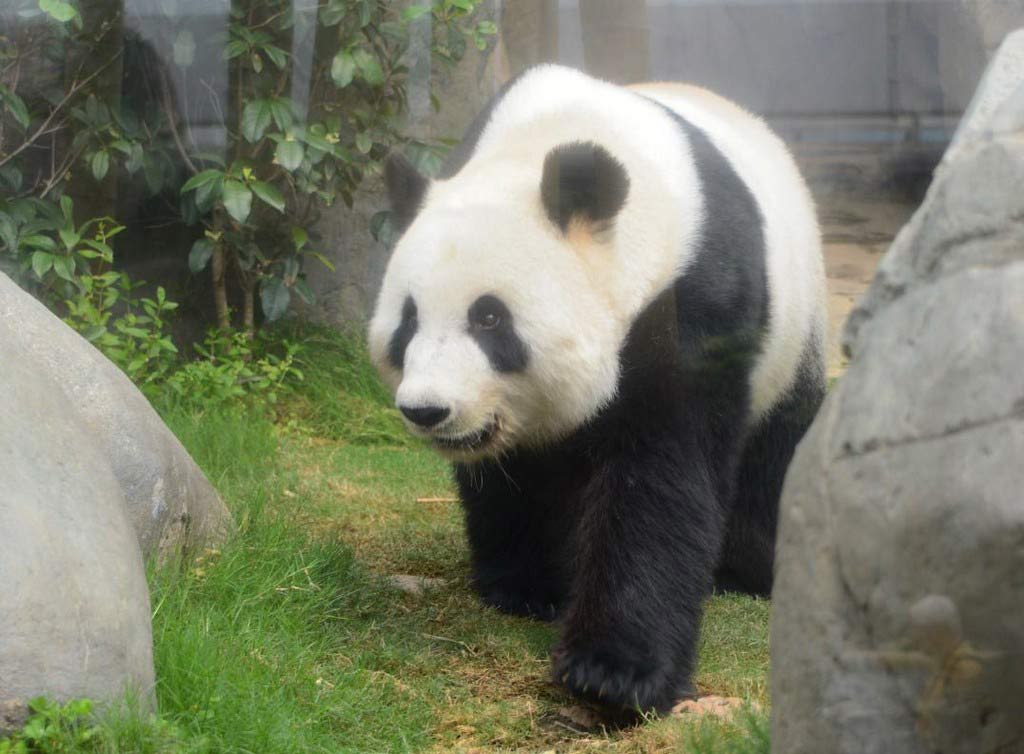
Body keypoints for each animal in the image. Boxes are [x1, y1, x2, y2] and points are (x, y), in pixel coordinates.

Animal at [366, 64, 823, 713]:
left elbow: (661, 473)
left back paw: (747, 571)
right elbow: (513, 479)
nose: (427, 410)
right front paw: (526, 587)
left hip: (793, 334)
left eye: (489, 318)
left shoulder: (698, 299)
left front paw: (614, 672)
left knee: (775, 448)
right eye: (407, 321)